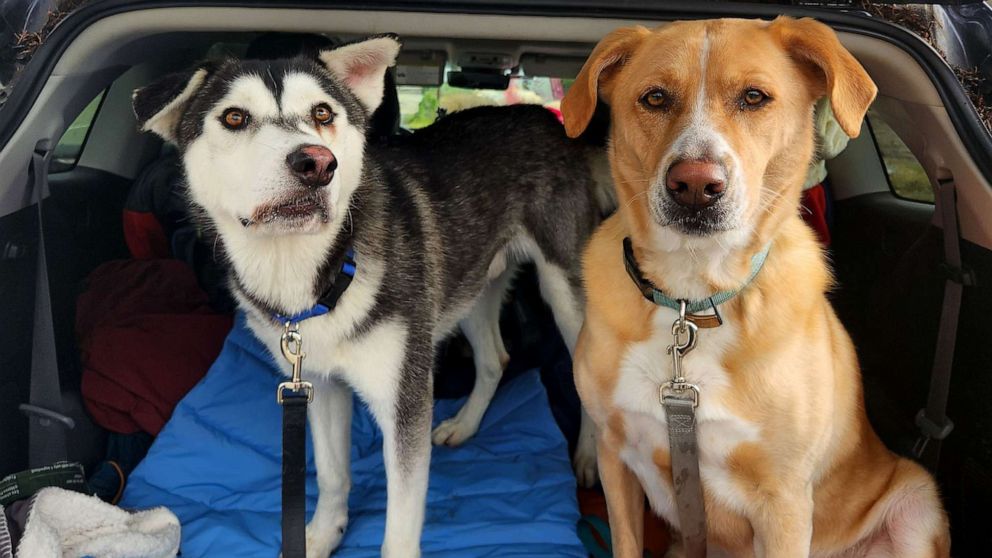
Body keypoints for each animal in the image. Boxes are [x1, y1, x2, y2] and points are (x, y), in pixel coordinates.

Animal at [132, 36, 604, 558]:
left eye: (322, 112)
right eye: (234, 117)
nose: (316, 163)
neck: (316, 273)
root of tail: (545, 117)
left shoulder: (405, 402)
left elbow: (399, 525)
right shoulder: (317, 383)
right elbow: (332, 474)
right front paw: (321, 535)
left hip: (564, 288)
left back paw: (588, 455)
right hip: (472, 282)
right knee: (494, 359)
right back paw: (465, 424)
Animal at [560, 15, 948, 556]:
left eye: (753, 97)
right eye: (655, 98)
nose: (695, 186)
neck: (692, 299)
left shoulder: (784, 500)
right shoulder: (615, 456)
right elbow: (626, 541)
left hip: (918, 500)